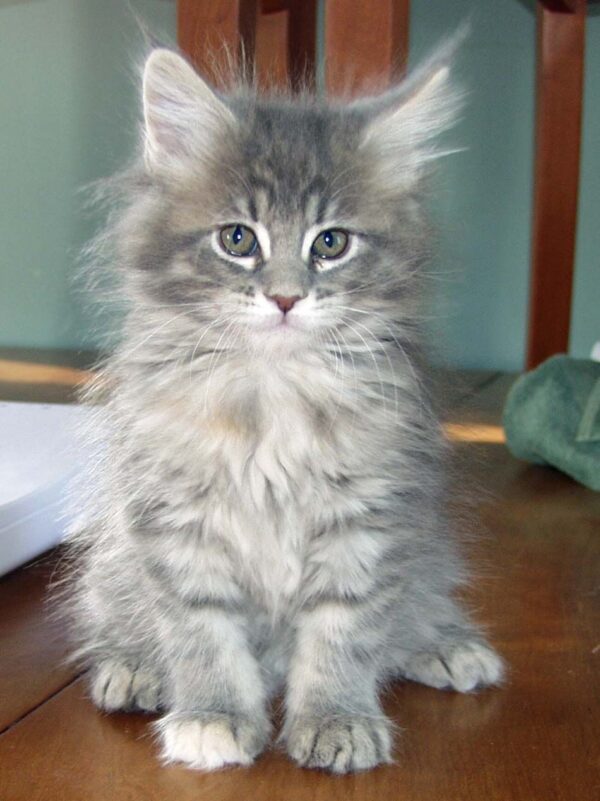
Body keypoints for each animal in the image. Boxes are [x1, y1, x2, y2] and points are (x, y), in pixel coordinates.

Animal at [65, 40, 504, 772]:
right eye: (238, 239)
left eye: (331, 243)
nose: (286, 297)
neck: (271, 395)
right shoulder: (174, 520)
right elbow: (200, 630)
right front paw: (213, 715)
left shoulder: (369, 517)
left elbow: (344, 630)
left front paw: (336, 717)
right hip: (113, 563)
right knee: (118, 616)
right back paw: (133, 667)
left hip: (425, 552)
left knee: (417, 602)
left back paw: (444, 644)